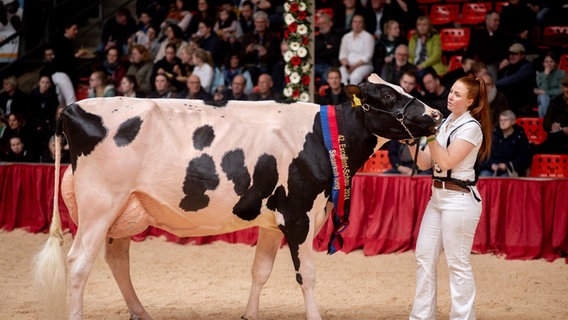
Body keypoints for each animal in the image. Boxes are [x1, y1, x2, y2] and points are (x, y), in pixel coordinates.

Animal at [34, 73, 444, 320]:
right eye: (388, 93)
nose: (436, 114)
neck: (323, 135)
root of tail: (73, 107)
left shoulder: (273, 221)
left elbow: (260, 270)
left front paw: (249, 313)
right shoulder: (298, 215)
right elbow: (307, 276)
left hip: (127, 208)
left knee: (117, 259)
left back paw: (142, 312)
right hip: (100, 204)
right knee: (79, 263)